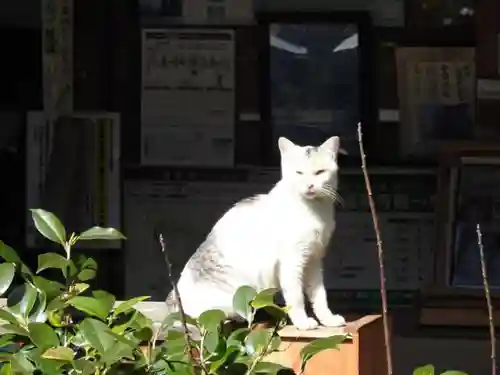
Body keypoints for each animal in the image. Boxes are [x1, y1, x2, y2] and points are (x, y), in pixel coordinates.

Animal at [166, 137, 346, 330]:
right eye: (299, 173)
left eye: (319, 172)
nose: (310, 185)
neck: (315, 210)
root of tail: (174, 301)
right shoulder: (292, 263)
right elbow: (296, 297)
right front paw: (302, 322)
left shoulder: (313, 261)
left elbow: (319, 296)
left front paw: (328, 320)